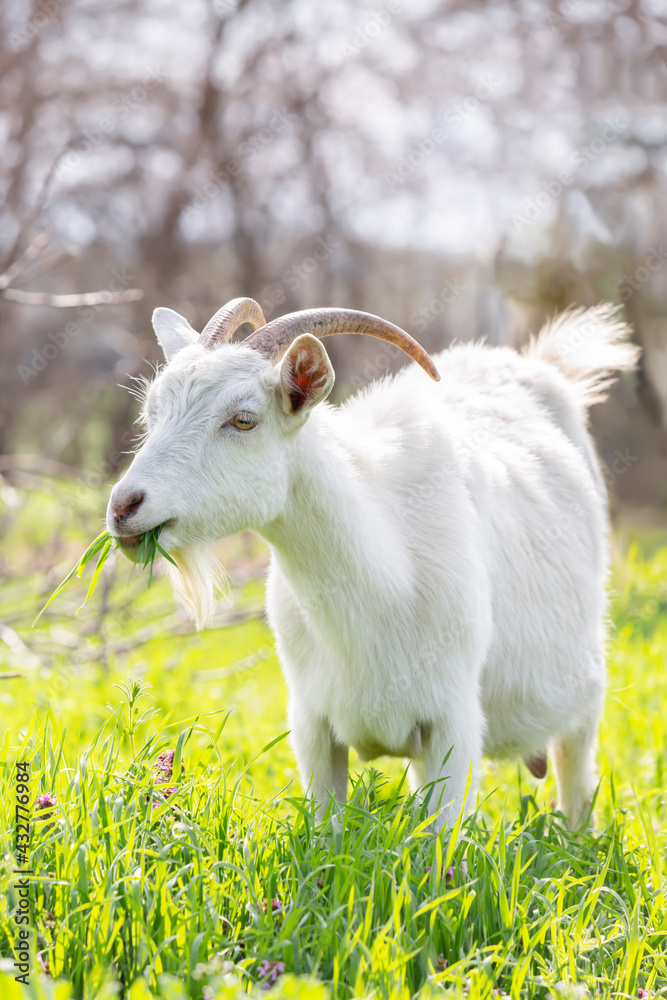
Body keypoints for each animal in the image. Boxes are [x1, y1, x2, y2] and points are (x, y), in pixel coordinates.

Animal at [107, 298, 639, 829]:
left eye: (242, 420)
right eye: (152, 411)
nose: (123, 506)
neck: (382, 582)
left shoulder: (454, 721)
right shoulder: (313, 725)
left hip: (584, 700)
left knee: (576, 773)